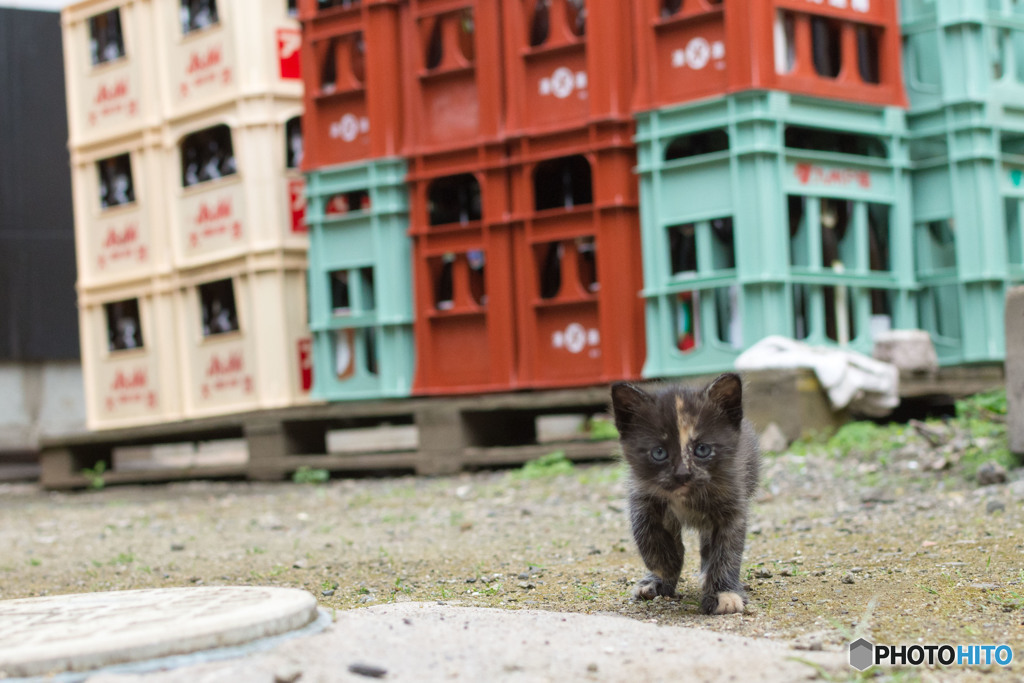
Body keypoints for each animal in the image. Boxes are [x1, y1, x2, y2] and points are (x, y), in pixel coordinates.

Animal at [606, 374, 761, 614]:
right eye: (659, 452)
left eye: (702, 449)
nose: (683, 474)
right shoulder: (641, 493)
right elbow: (644, 529)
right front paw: (665, 565)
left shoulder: (733, 501)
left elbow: (728, 550)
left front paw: (723, 593)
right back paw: (656, 581)